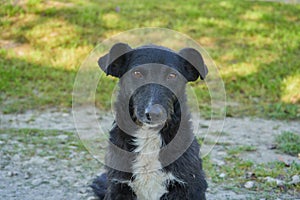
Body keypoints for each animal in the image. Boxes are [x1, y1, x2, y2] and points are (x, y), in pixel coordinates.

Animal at [92, 43, 207, 199]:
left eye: (172, 76)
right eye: (137, 73)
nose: (154, 113)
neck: (148, 136)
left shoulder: (188, 187)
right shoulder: (118, 187)